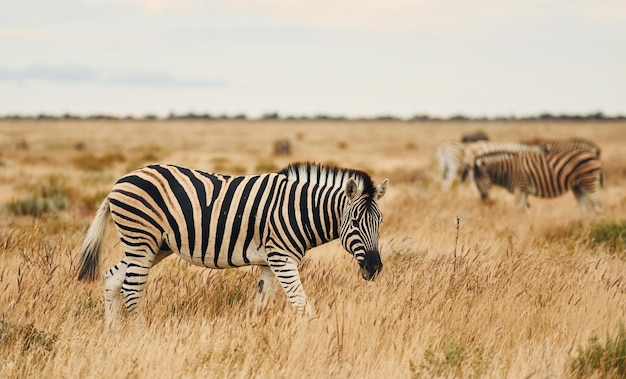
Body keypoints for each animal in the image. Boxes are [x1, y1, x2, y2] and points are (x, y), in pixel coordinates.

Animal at [76, 161, 388, 326]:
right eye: (356, 222)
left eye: (380, 222)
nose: (375, 268)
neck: (298, 209)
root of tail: (120, 181)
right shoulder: (282, 257)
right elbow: (301, 304)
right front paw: (312, 334)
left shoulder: (269, 262)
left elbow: (261, 302)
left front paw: (255, 333)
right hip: (141, 240)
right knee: (131, 287)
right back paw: (141, 332)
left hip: (154, 245)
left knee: (112, 277)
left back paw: (114, 331)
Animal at [472, 149, 600, 214]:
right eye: (475, 181)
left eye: (483, 178)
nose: (483, 197)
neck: (509, 169)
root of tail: (594, 155)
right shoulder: (524, 191)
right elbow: (527, 211)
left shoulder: (520, 187)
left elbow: (517, 209)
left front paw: (515, 224)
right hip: (578, 187)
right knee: (585, 209)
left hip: (588, 182)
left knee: (597, 206)